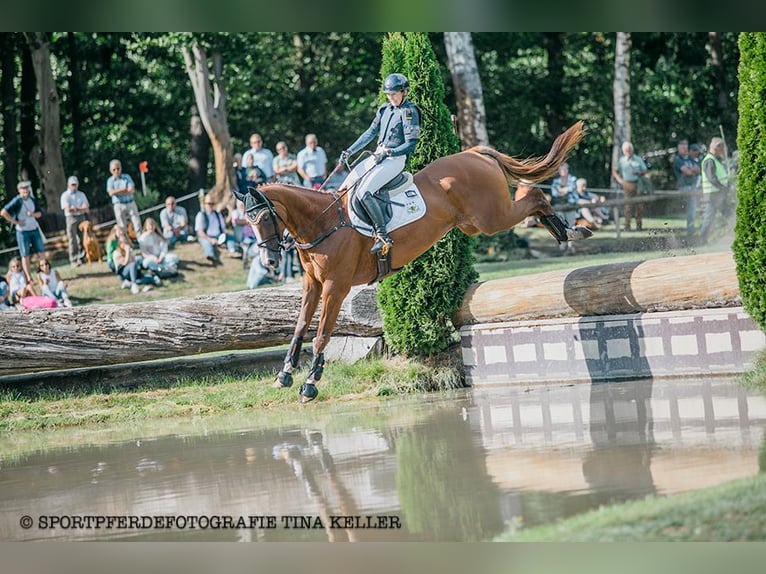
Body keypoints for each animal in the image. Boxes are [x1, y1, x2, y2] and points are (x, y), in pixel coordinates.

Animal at [237, 119, 592, 402]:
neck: (322, 223)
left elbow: (322, 332)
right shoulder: (312, 283)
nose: (270, 261)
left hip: (492, 217)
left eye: (264, 218)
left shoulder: (336, 287)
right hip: (475, 222)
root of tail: (475, 153)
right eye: (247, 222)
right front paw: (284, 375)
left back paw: (569, 230)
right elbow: (300, 327)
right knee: (530, 196)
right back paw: (564, 228)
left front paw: (310, 384)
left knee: (534, 195)